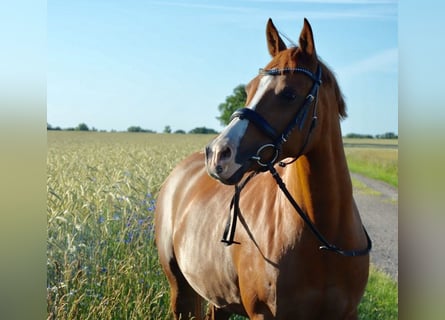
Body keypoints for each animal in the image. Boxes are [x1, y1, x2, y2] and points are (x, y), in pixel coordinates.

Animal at [154, 18, 370, 320]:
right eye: (249, 89)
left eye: (289, 94)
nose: (218, 153)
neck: (322, 238)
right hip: (180, 290)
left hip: (218, 299)